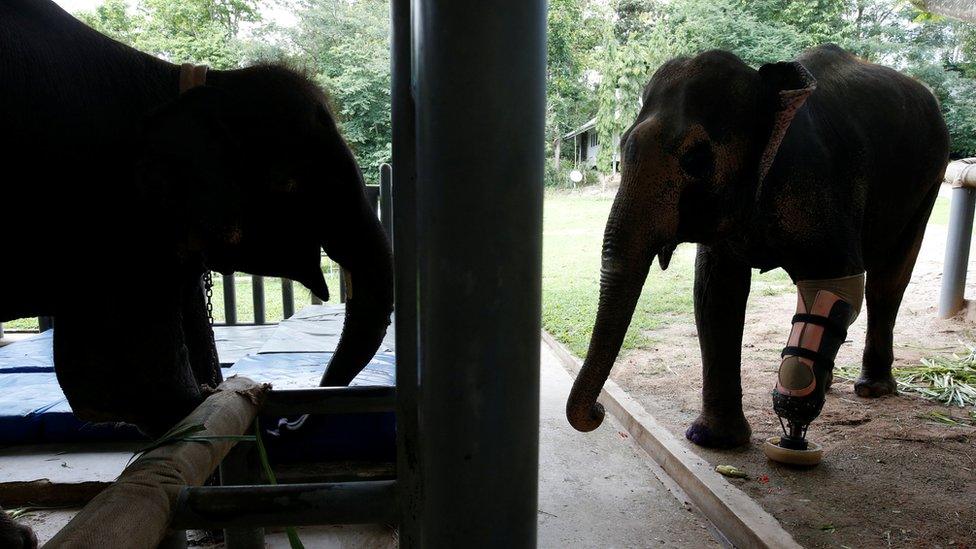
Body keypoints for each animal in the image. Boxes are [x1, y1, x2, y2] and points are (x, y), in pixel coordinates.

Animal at [564, 44, 944, 462]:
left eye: (696, 158)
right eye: (622, 146)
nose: (599, 411)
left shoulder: (820, 181)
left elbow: (837, 281)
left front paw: (793, 425)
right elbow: (716, 292)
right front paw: (714, 441)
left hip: (930, 179)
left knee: (887, 282)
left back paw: (871, 388)